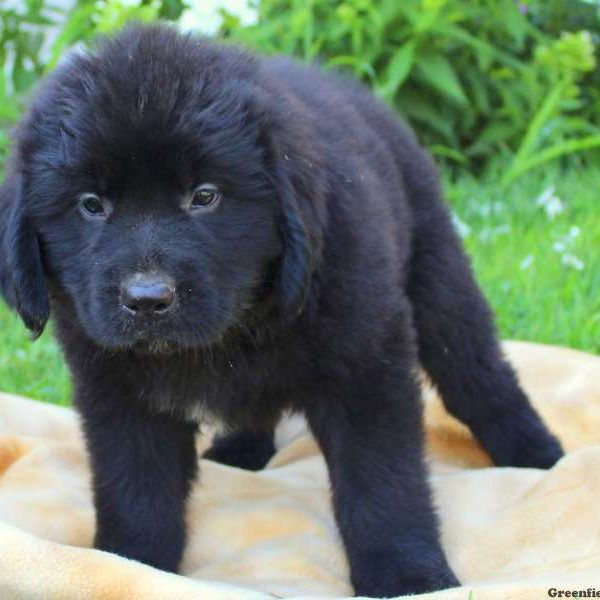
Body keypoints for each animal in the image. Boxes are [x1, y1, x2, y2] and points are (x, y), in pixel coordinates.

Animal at [0, 22, 564, 596]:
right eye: (91, 205)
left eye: (205, 196)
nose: (148, 299)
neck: (232, 329)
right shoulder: (118, 392)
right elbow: (136, 488)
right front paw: (130, 564)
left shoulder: (366, 367)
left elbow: (381, 481)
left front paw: (407, 575)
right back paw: (240, 453)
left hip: (439, 280)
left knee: (478, 374)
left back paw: (540, 457)